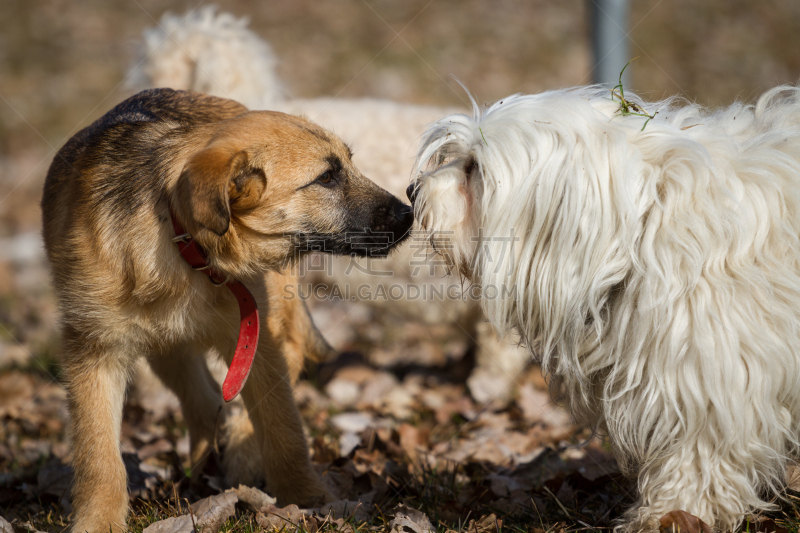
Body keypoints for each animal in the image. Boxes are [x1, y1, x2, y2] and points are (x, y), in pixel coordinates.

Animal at [39, 89, 412, 528]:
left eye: (348, 164)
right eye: (326, 178)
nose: (410, 213)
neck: (182, 246)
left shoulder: (253, 337)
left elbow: (284, 429)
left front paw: (311, 498)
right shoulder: (94, 351)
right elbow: (98, 455)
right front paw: (98, 521)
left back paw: (239, 456)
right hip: (168, 353)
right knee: (202, 403)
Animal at [410, 85, 800, 528]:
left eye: (474, 168)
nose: (411, 192)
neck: (644, 221)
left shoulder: (711, 376)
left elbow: (699, 451)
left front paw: (671, 515)